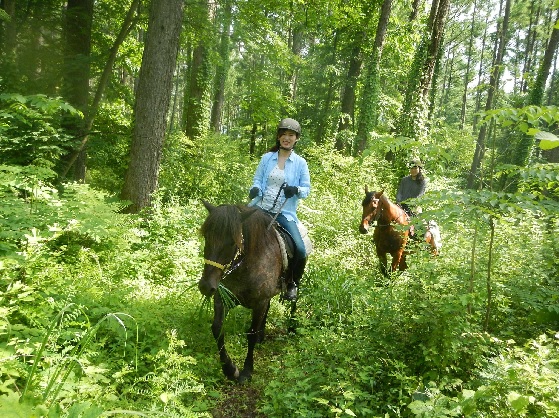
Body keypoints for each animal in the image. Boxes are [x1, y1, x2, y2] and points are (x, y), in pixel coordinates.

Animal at [198, 201, 296, 384]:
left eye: (232, 242)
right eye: (206, 237)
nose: (206, 286)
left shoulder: (259, 302)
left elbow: (250, 333)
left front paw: (247, 371)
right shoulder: (222, 298)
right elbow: (217, 328)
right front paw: (229, 369)